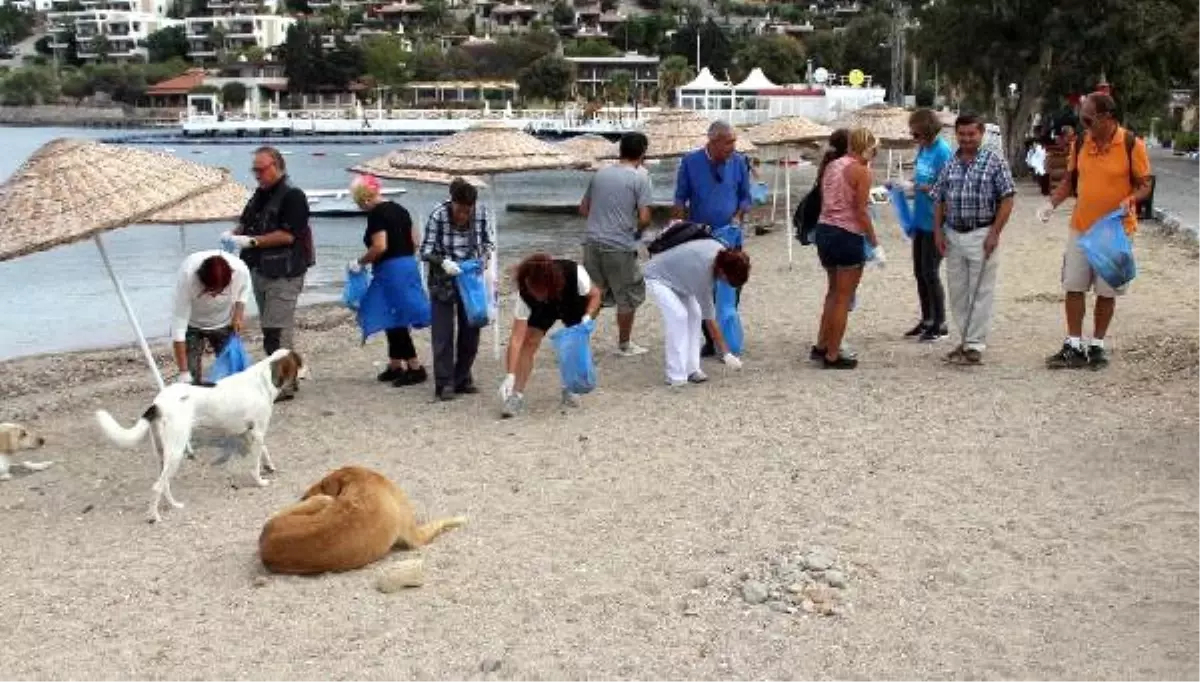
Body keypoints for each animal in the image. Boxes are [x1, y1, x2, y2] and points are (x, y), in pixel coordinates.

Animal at [95, 348, 307, 525]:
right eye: (300, 362)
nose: (309, 369)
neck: (264, 379)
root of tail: (158, 403)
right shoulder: (258, 432)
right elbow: (255, 465)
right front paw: (260, 482)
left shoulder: (252, 433)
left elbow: (264, 451)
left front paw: (269, 466)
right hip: (176, 451)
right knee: (157, 486)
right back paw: (154, 516)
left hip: (163, 454)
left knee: (164, 484)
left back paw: (174, 505)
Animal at [260, 463, 465, 576]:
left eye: (322, 483)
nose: (302, 496)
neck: (361, 478)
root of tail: (265, 544)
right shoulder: (416, 537)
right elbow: (441, 522)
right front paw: (458, 518)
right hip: (321, 500)